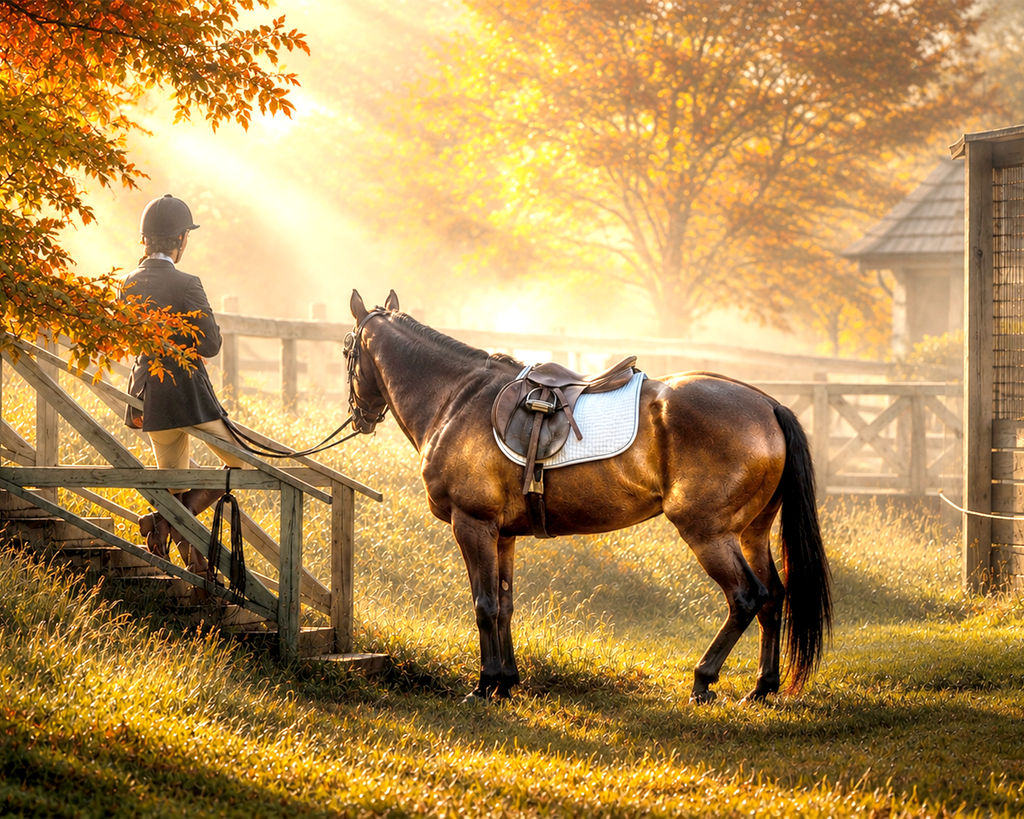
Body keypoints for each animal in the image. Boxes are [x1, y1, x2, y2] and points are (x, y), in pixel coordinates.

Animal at [344, 290, 831, 704]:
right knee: (773, 597)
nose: (359, 416)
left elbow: (484, 605)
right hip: (752, 532)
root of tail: (768, 405)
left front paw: (484, 686)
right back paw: (762, 686)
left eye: (348, 349)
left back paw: (703, 679)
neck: (458, 399)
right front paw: (506, 683)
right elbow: (504, 606)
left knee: (746, 597)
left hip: (708, 534)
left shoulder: (473, 525)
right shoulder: (503, 535)